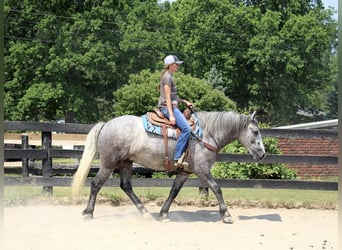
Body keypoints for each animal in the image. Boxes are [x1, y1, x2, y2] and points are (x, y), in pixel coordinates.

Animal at [71, 110, 264, 224]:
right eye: (255, 132)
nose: (262, 154)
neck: (205, 135)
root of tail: (106, 124)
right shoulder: (202, 169)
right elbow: (217, 188)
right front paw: (226, 214)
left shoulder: (185, 172)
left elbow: (174, 191)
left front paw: (163, 214)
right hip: (108, 163)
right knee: (96, 184)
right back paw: (88, 213)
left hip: (126, 162)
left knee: (126, 186)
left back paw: (144, 212)